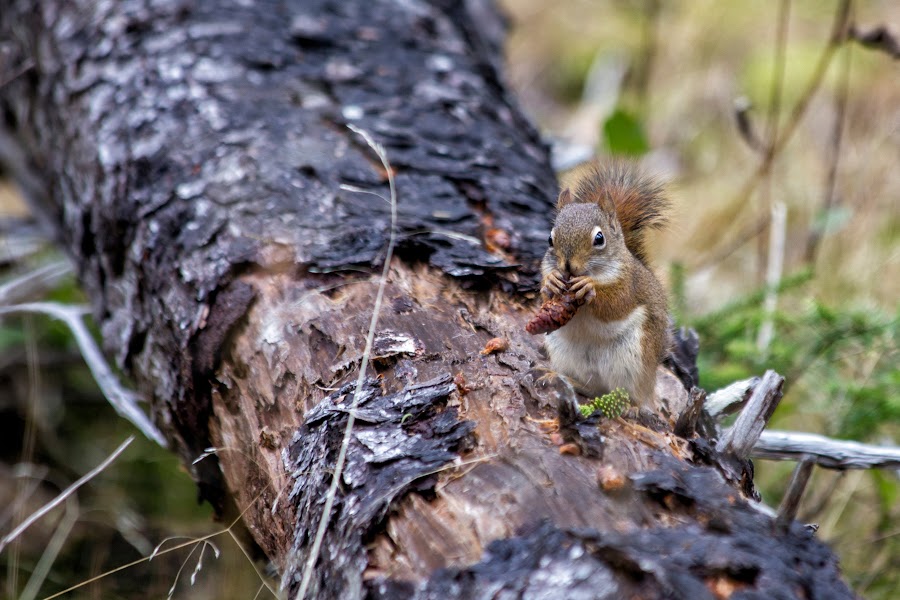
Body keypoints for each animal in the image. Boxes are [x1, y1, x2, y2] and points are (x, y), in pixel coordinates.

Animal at [536, 162, 672, 408]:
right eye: (550, 239)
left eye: (599, 238)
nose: (568, 266)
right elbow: (545, 294)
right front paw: (551, 283)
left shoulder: (629, 285)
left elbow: (615, 306)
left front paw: (589, 288)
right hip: (564, 353)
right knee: (591, 388)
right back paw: (557, 376)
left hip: (634, 359)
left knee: (633, 394)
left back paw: (633, 406)